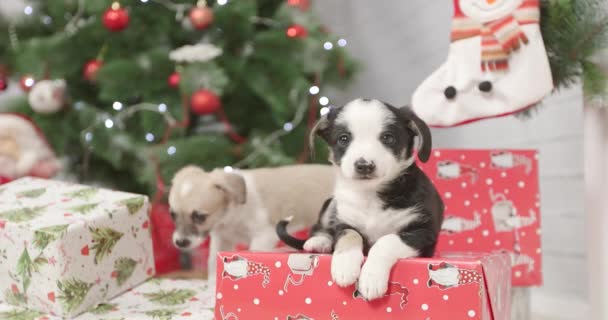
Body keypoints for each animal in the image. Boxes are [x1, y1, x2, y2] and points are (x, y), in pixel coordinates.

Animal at [169, 164, 334, 282]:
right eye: (172, 214)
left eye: (200, 216)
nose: (180, 243)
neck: (231, 215)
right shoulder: (222, 239)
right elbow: (212, 263)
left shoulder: (264, 235)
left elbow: (254, 252)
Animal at [278, 99, 444, 302]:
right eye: (343, 139)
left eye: (388, 138)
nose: (364, 165)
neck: (370, 195)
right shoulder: (344, 222)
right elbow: (350, 235)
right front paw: (345, 265)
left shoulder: (423, 233)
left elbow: (387, 240)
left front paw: (372, 279)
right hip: (331, 203)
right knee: (320, 227)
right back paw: (319, 242)